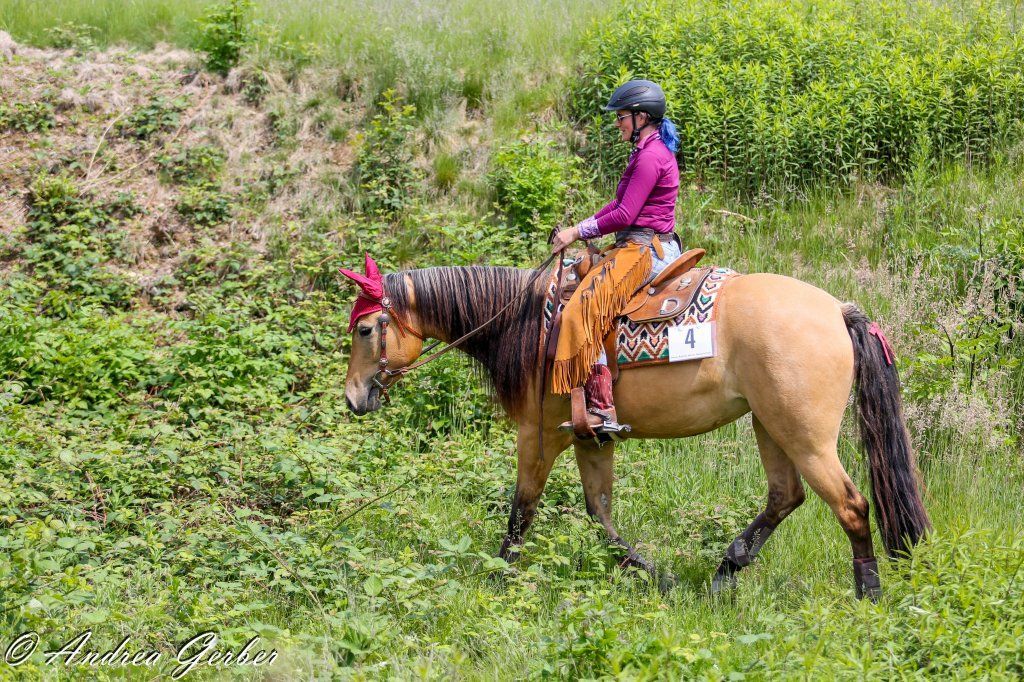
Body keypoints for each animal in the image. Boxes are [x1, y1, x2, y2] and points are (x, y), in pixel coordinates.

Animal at [340, 260, 931, 599]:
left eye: (366, 329)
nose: (352, 398)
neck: (525, 325)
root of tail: (838, 310)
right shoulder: (589, 438)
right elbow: (599, 513)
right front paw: (653, 575)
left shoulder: (538, 435)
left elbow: (521, 509)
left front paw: (496, 576)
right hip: (770, 424)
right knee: (785, 497)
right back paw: (725, 571)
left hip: (805, 436)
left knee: (851, 506)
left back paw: (868, 592)